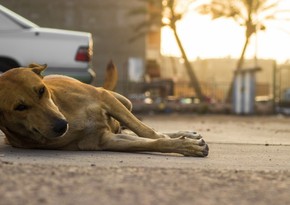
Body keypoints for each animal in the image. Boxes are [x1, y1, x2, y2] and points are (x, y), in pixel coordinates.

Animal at [0, 63, 208, 156]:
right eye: (20, 107)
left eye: (41, 90)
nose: (61, 125)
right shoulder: (105, 140)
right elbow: (151, 142)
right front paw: (185, 146)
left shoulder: (105, 98)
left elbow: (147, 131)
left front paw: (183, 141)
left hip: (124, 101)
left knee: (138, 125)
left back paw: (185, 133)